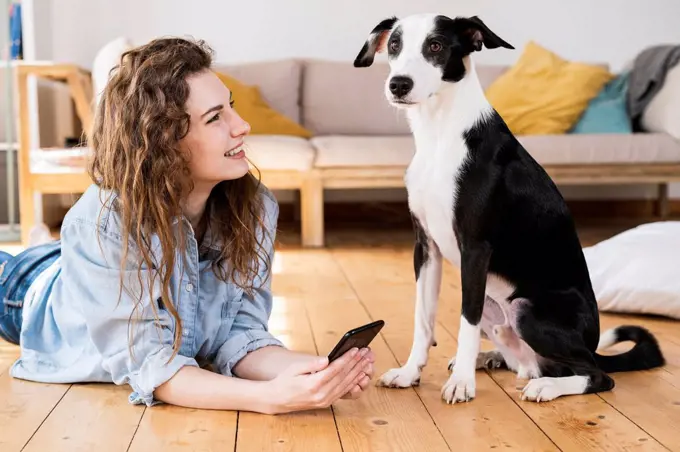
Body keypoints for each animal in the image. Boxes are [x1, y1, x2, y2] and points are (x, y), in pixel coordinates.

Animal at [354, 13, 660, 402]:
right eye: (394, 44)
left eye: (435, 45)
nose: (398, 85)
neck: (440, 134)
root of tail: (591, 343)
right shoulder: (426, 248)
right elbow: (423, 319)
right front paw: (410, 373)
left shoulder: (475, 249)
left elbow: (465, 323)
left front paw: (462, 384)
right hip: (496, 307)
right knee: (527, 362)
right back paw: (494, 359)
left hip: (525, 308)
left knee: (595, 374)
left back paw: (544, 386)